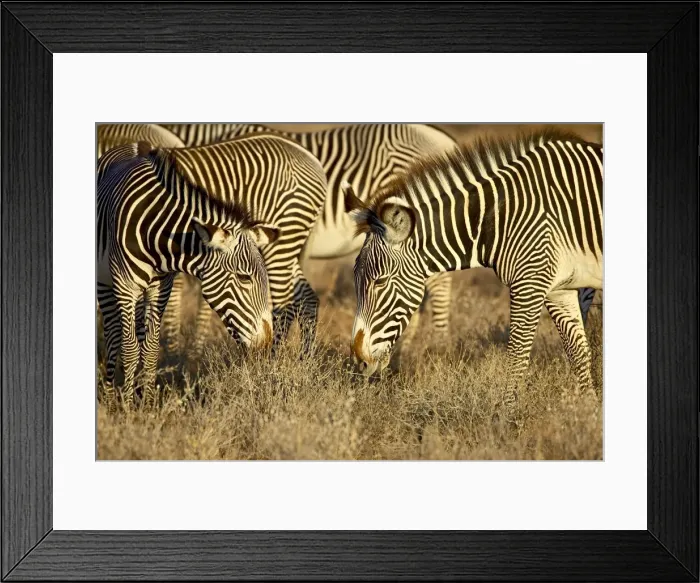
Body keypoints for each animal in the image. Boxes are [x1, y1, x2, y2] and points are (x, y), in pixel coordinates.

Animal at [97, 142, 276, 408]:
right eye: (245, 278)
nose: (267, 343)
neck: (158, 235)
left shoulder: (161, 288)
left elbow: (150, 347)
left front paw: (147, 404)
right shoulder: (125, 286)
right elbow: (129, 348)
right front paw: (127, 407)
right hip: (105, 282)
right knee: (112, 333)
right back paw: (110, 396)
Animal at [151, 133, 328, 353]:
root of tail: (312, 159)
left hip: (281, 241)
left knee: (285, 305)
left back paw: (272, 359)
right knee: (307, 300)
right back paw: (304, 358)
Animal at [344, 129, 603, 421]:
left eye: (380, 281)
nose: (358, 362)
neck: (502, 215)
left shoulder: (530, 282)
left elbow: (517, 355)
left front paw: (505, 422)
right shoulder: (558, 289)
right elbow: (578, 352)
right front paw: (589, 416)